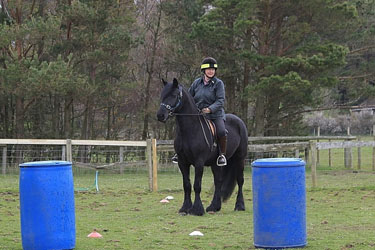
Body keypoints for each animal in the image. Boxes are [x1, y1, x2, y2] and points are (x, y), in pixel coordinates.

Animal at [157, 79, 248, 216]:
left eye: (173, 95)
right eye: (162, 95)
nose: (160, 115)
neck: (190, 130)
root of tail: (239, 121)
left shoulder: (199, 162)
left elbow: (197, 185)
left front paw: (197, 209)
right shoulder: (182, 162)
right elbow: (187, 185)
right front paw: (185, 208)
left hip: (240, 159)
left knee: (240, 180)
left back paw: (239, 206)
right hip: (216, 164)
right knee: (218, 181)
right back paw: (214, 207)